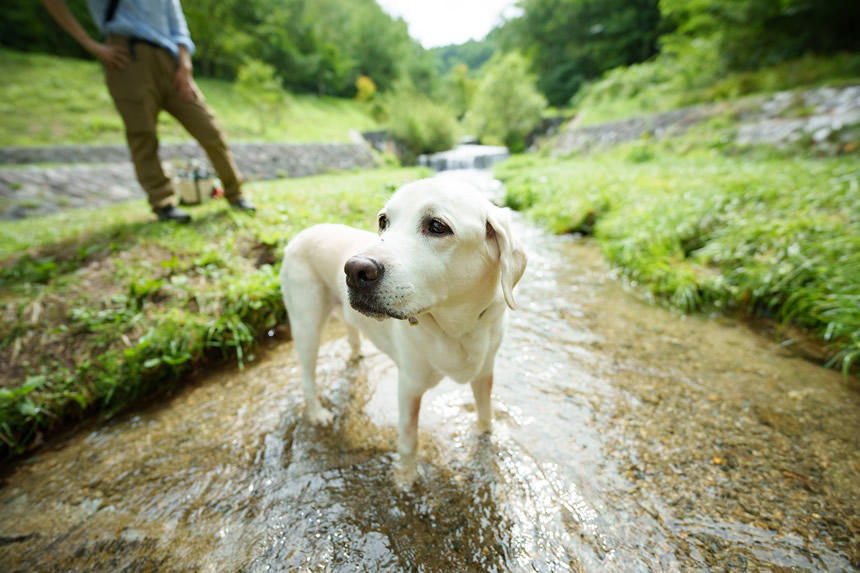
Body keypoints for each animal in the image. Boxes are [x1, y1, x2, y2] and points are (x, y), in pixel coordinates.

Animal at [278, 177, 528, 466]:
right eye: (383, 221)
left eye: (437, 226)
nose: (354, 270)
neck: (457, 328)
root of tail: (301, 233)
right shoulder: (409, 386)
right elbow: (409, 442)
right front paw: (406, 474)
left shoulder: (485, 373)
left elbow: (485, 417)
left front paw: (489, 439)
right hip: (306, 325)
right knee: (307, 376)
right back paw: (317, 413)